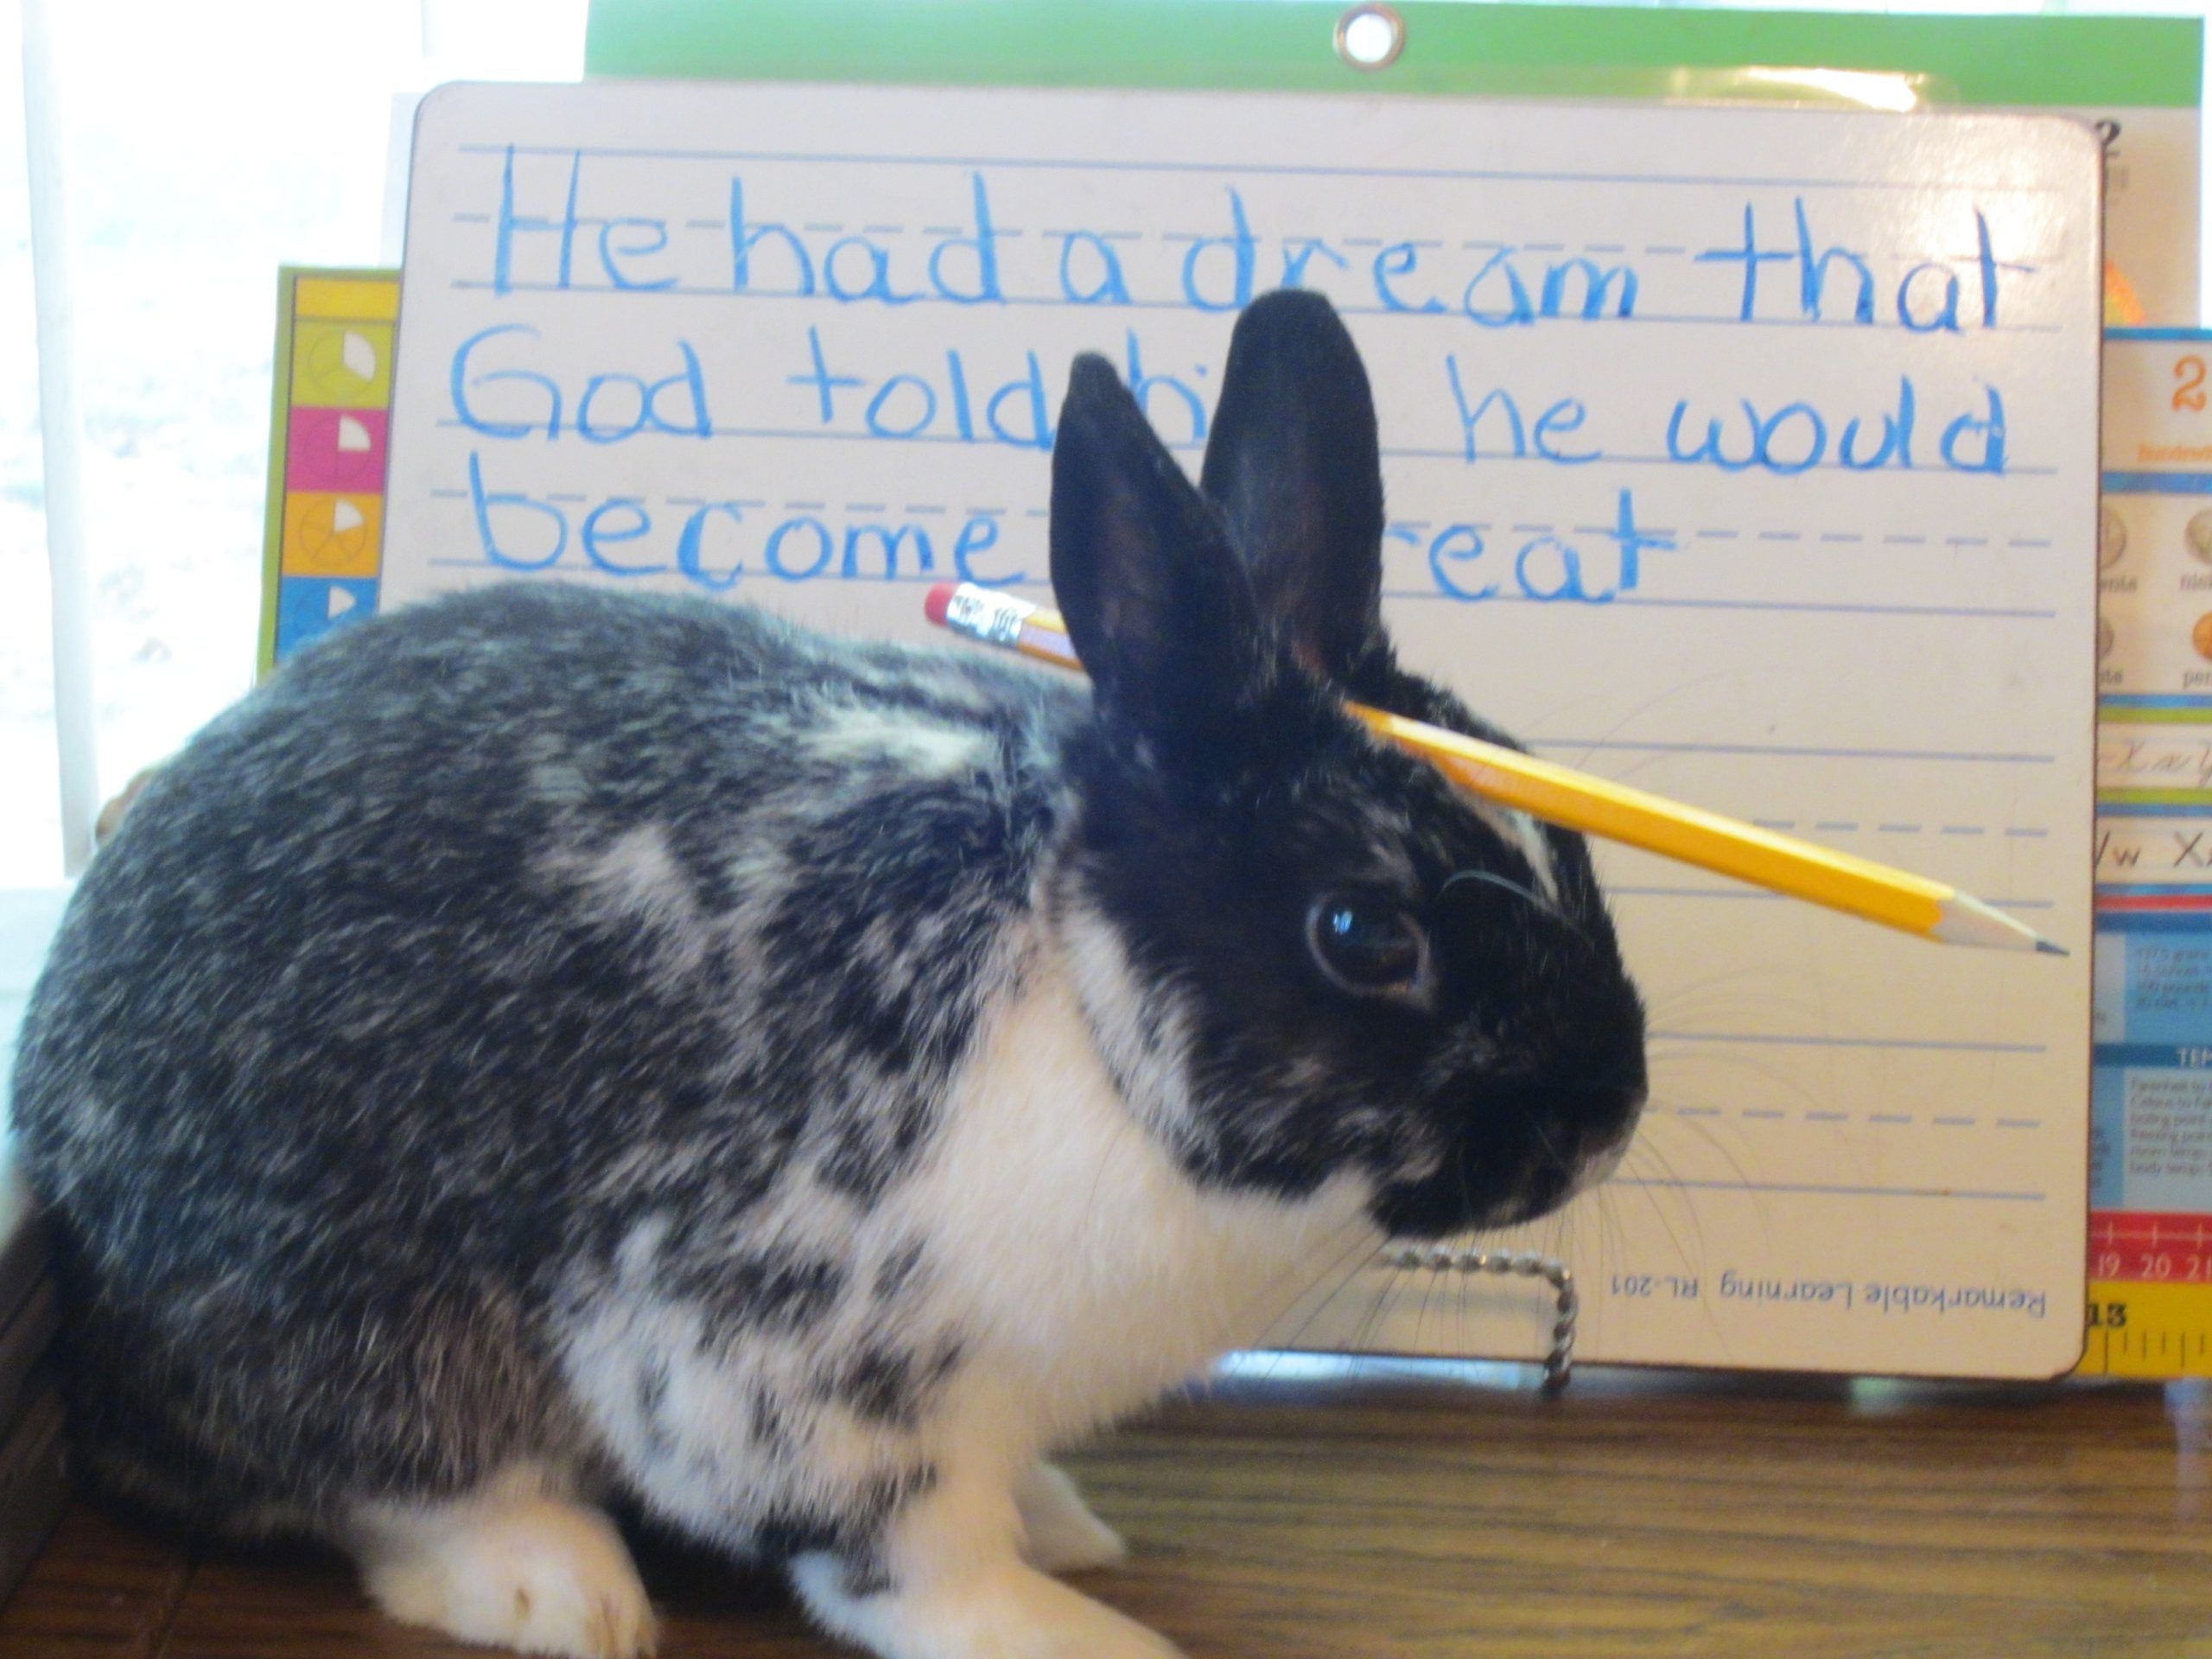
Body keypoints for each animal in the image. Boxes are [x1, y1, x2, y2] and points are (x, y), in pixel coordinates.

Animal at [4, 289, 1645, 1659]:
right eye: (1365, 935)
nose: (1608, 1118)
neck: (1081, 996)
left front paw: (1064, 1528)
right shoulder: (784, 1363)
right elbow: (911, 1564)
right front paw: (1074, 1636)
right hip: (350, 1318)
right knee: (393, 1482)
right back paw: (560, 1591)